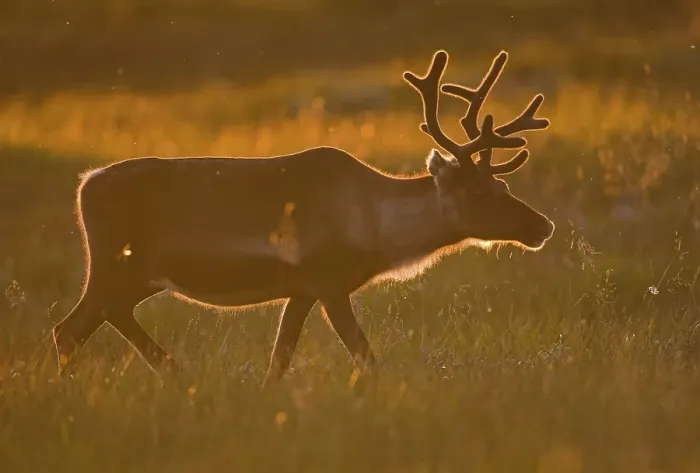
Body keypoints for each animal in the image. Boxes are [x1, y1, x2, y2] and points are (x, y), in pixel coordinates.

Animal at [52, 49, 554, 388]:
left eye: (505, 186)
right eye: (478, 192)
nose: (543, 226)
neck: (374, 223)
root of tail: (84, 184)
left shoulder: (301, 289)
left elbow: (281, 358)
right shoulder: (326, 281)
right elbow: (364, 356)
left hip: (133, 275)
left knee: (95, 320)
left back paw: (170, 369)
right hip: (116, 266)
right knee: (70, 328)